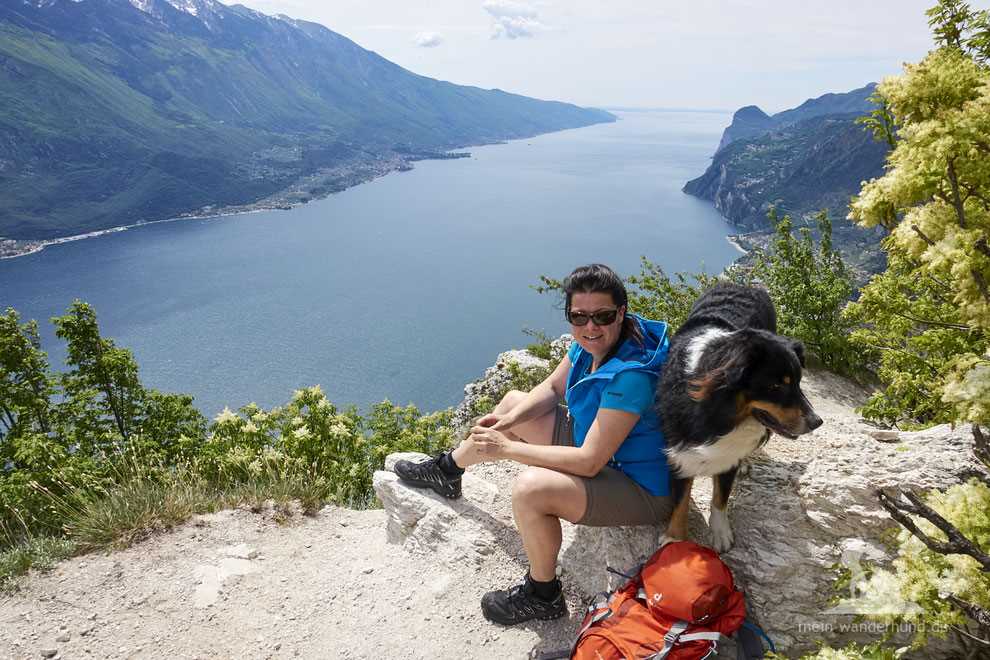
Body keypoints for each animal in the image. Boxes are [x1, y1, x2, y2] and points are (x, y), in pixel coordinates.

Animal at [660, 282, 820, 548]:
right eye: (776, 386)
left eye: (798, 383)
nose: (817, 422)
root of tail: (744, 284)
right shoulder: (679, 445)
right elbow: (681, 498)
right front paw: (675, 536)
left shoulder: (728, 451)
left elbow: (721, 495)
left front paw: (720, 532)